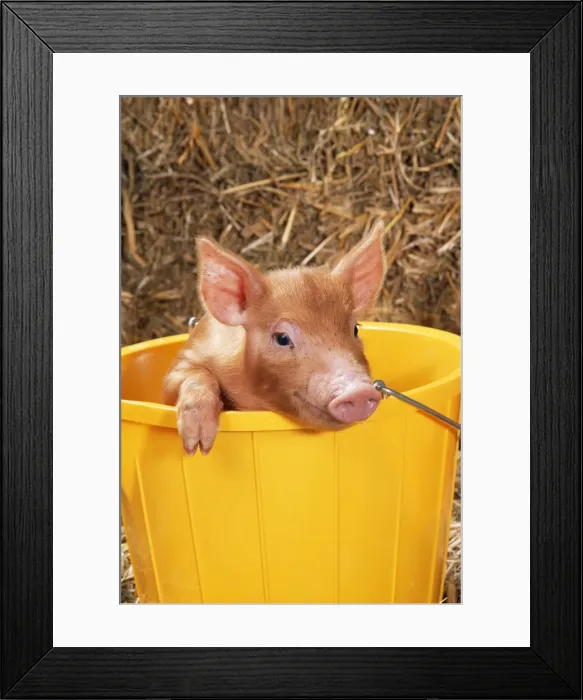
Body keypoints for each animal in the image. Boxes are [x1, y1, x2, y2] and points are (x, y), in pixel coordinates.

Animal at [163, 220, 388, 456]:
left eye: (355, 329)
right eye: (282, 338)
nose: (359, 392)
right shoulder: (187, 358)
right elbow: (189, 377)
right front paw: (197, 448)